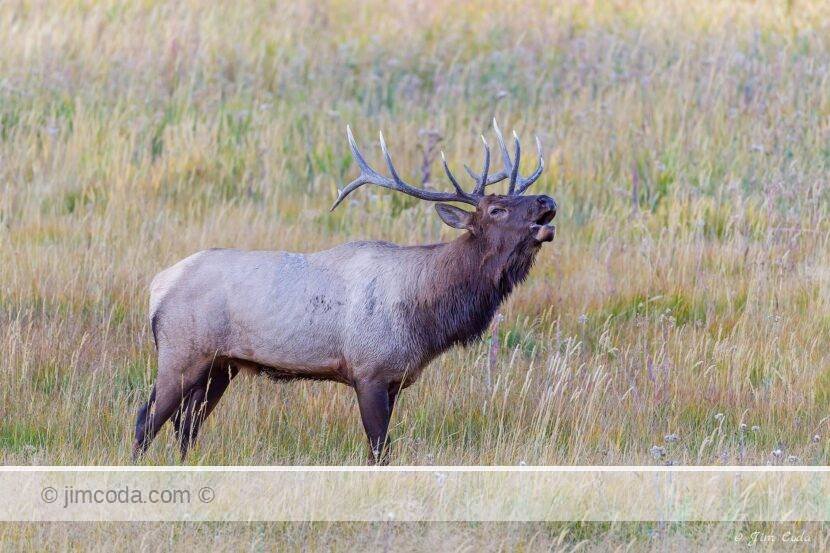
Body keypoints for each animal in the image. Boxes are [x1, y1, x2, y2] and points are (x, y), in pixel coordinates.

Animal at [132, 119, 557, 463]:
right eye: (496, 210)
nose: (547, 200)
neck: (424, 316)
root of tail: (158, 285)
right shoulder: (369, 370)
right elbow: (380, 450)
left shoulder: (395, 379)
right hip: (181, 351)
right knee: (146, 420)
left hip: (222, 364)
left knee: (186, 425)